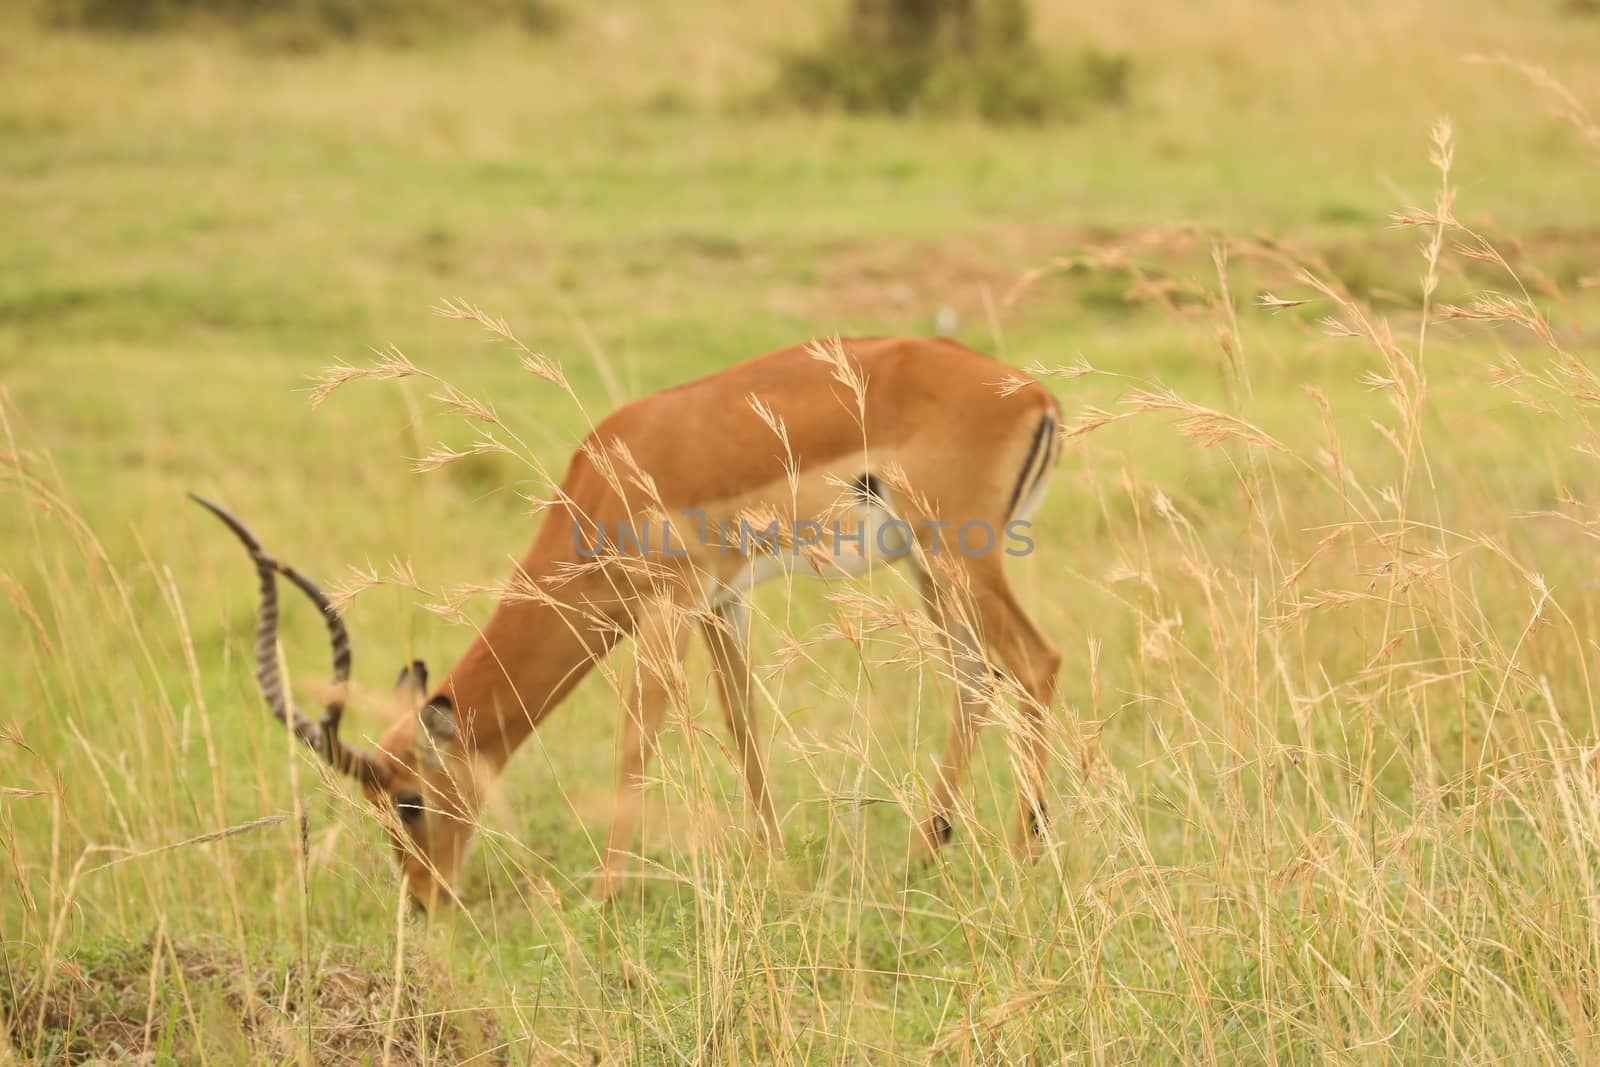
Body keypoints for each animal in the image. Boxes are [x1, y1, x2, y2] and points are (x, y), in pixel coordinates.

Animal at [193, 335, 1062, 908]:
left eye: (408, 800)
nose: (423, 896)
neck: (607, 478)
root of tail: (1032, 394)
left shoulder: (670, 603)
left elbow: (638, 731)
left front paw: (605, 893)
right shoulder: (721, 601)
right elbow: (743, 726)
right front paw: (775, 870)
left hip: (957, 558)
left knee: (1035, 663)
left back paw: (1024, 856)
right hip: (929, 570)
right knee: (975, 678)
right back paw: (919, 857)